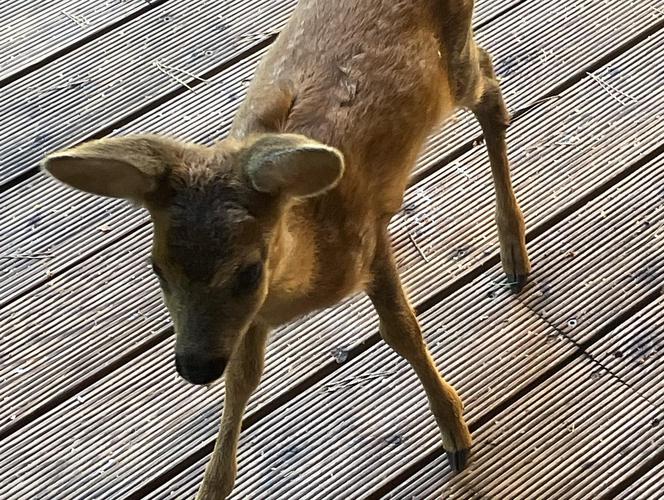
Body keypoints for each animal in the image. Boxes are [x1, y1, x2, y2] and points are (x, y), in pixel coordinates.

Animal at [40, 0, 528, 496]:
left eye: (248, 271)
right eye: (158, 269)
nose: (195, 366)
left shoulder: (370, 236)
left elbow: (402, 331)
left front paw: (455, 433)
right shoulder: (252, 314)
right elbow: (241, 377)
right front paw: (213, 486)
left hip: (455, 63)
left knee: (489, 82)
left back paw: (514, 254)